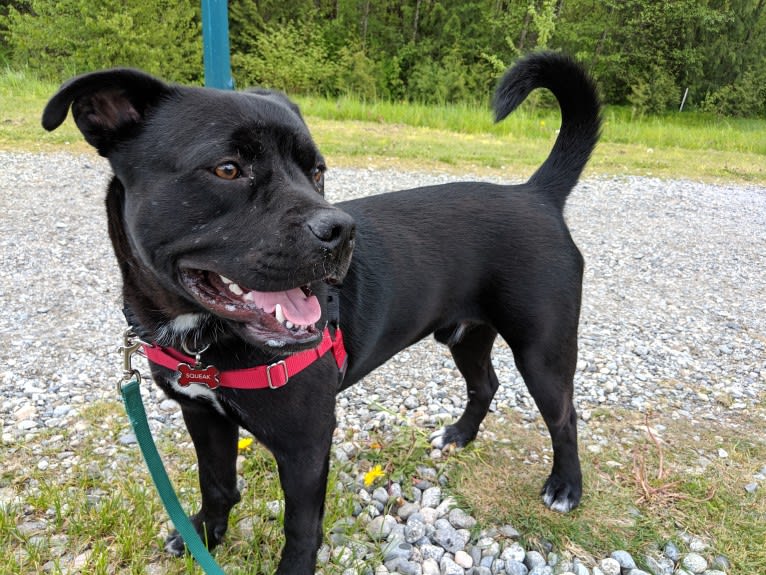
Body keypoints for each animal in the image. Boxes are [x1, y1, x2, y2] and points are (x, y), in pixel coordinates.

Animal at [43, 53, 600, 575]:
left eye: (317, 172)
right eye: (227, 168)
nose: (341, 231)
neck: (202, 338)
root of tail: (536, 193)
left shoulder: (306, 445)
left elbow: (301, 528)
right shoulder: (201, 414)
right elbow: (216, 483)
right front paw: (205, 535)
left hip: (542, 350)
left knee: (563, 416)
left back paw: (565, 487)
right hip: (465, 334)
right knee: (485, 384)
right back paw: (459, 435)